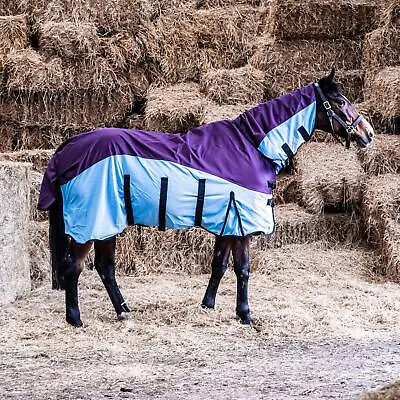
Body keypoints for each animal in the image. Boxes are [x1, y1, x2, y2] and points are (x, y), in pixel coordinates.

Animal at [37, 69, 376, 328]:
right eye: (340, 101)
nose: (368, 133)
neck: (251, 145)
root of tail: (68, 148)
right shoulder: (242, 223)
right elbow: (243, 269)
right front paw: (246, 315)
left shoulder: (228, 221)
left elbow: (219, 265)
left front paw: (208, 305)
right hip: (93, 223)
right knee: (74, 268)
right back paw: (76, 319)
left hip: (108, 223)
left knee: (105, 268)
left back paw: (123, 312)